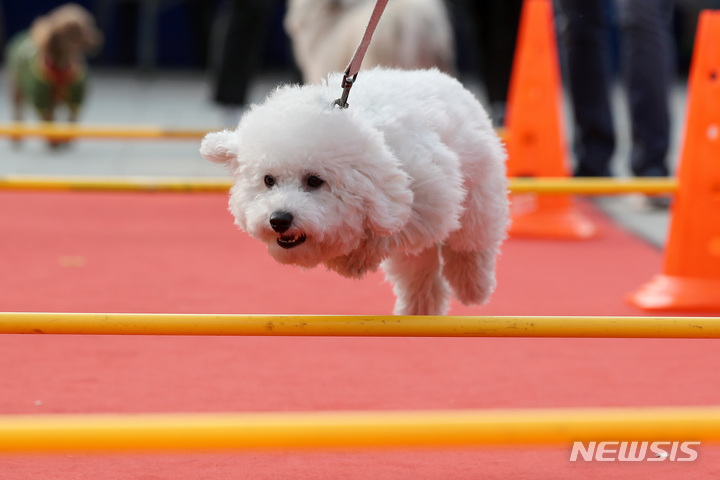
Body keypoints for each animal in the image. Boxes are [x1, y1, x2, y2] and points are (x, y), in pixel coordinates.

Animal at [200, 68, 510, 316]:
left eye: (314, 181)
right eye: (268, 180)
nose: (279, 220)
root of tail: (443, 77)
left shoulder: (431, 197)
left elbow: (388, 230)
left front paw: (354, 258)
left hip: (479, 194)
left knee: (471, 243)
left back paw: (472, 286)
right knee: (420, 273)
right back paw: (418, 310)